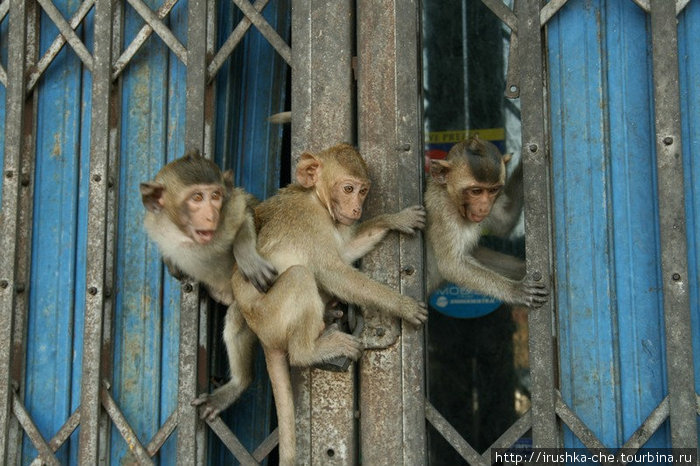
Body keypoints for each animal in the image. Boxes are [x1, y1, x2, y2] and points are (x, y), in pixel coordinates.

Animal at [141, 151, 278, 410]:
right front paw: (172, 264)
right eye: (197, 197)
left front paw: (246, 256)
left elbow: (248, 210)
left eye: (215, 196)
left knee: (236, 322)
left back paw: (238, 384)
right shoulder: (156, 224)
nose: (211, 215)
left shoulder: (230, 208)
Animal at [226, 144, 426, 464]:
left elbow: (345, 253)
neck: (316, 199)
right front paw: (402, 305)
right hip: (271, 316)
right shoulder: (311, 223)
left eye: (363, 191)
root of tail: (261, 335)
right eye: (348, 188)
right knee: (300, 277)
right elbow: (334, 271)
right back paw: (310, 350)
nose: (356, 209)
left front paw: (396, 219)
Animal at [424, 136, 548, 306]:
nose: (483, 208)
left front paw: (528, 156)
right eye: (476, 191)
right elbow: (451, 265)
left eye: (492, 190)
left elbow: (506, 221)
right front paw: (515, 290)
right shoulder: (442, 211)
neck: (451, 197)